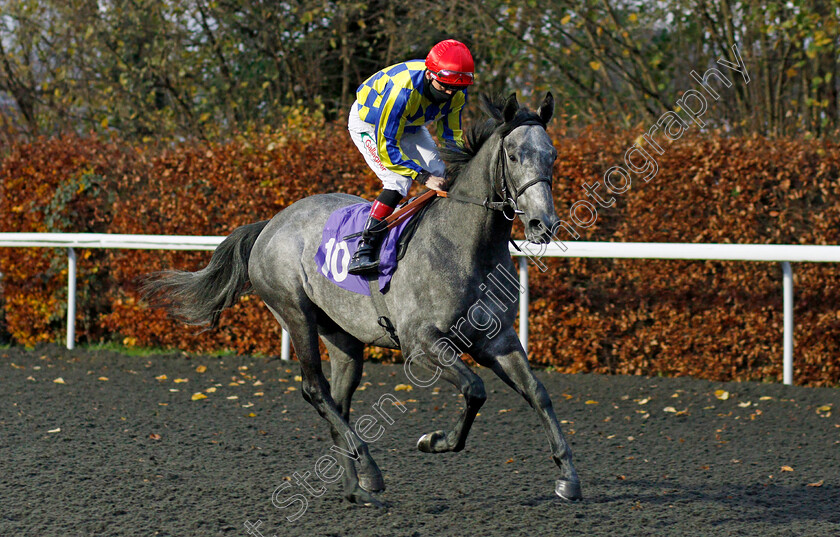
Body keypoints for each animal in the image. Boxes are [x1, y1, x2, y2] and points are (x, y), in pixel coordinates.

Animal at [141, 93, 580, 506]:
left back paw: (356, 487)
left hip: (343, 336)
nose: (543, 224)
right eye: (514, 154)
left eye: (553, 155)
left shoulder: (498, 339)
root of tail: (272, 223)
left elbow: (537, 392)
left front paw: (568, 478)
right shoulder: (420, 345)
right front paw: (434, 441)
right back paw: (369, 470)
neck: (462, 245)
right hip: (295, 313)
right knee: (314, 390)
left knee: (339, 401)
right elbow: (475, 389)